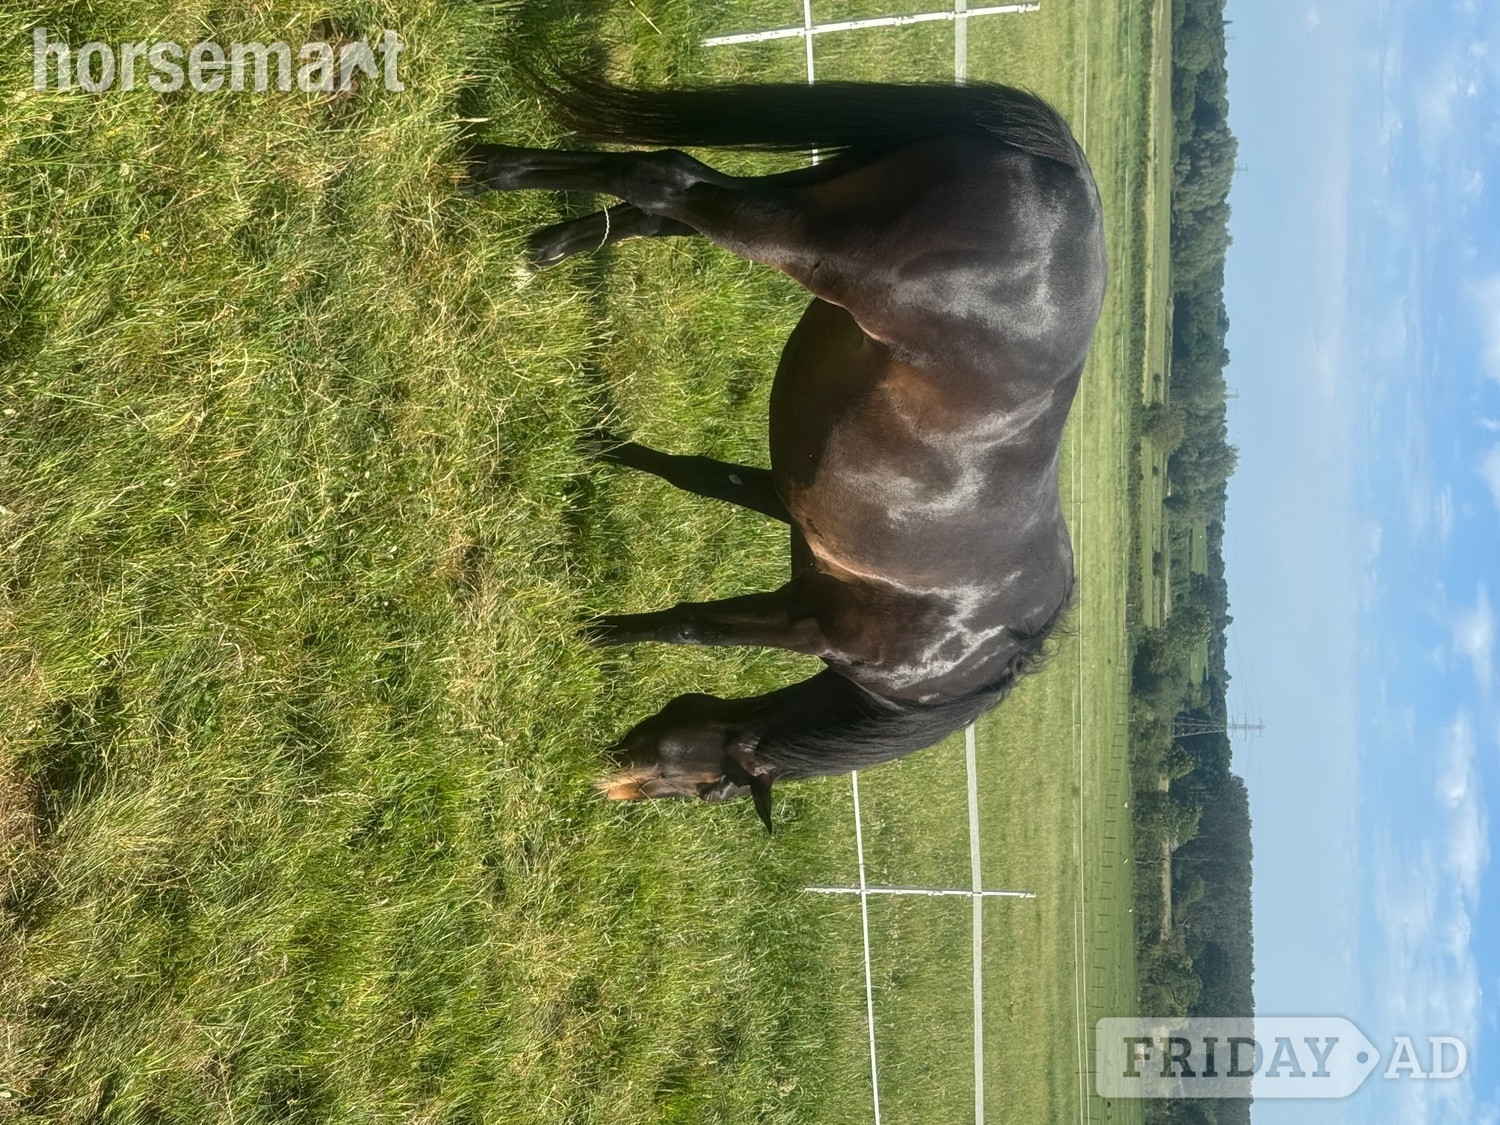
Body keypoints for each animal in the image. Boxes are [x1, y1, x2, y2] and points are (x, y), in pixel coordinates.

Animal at [467, 74, 1106, 830]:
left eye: (702, 789)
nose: (610, 783)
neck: (953, 657)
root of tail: (1065, 173)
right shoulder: (811, 623)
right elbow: (695, 627)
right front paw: (598, 630)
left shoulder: (789, 522)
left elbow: (693, 492)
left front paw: (598, 451)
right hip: (805, 238)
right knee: (668, 183)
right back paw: (491, 172)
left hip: (820, 189)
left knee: (671, 201)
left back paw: (541, 235)